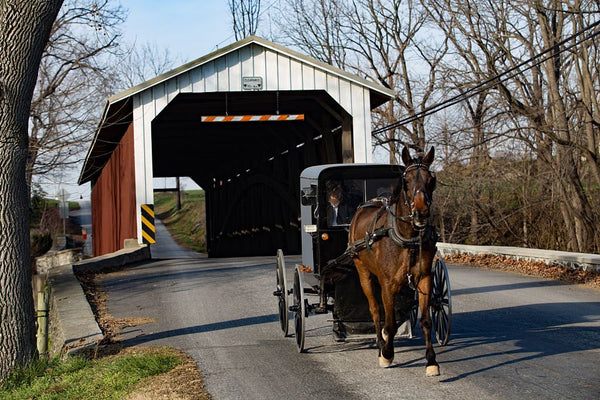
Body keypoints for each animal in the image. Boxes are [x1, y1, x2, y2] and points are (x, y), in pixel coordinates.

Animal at [346, 146, 440, 376]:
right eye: (406, 180)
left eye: (431, 180)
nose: (420, 213)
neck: (407, 238)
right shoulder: (388, 284)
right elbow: (388, 321)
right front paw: (387, 354)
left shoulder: (424, 278)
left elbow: (425, 321)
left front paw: (431, 361)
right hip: (364, 273)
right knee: (375, 310)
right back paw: (381, 345)